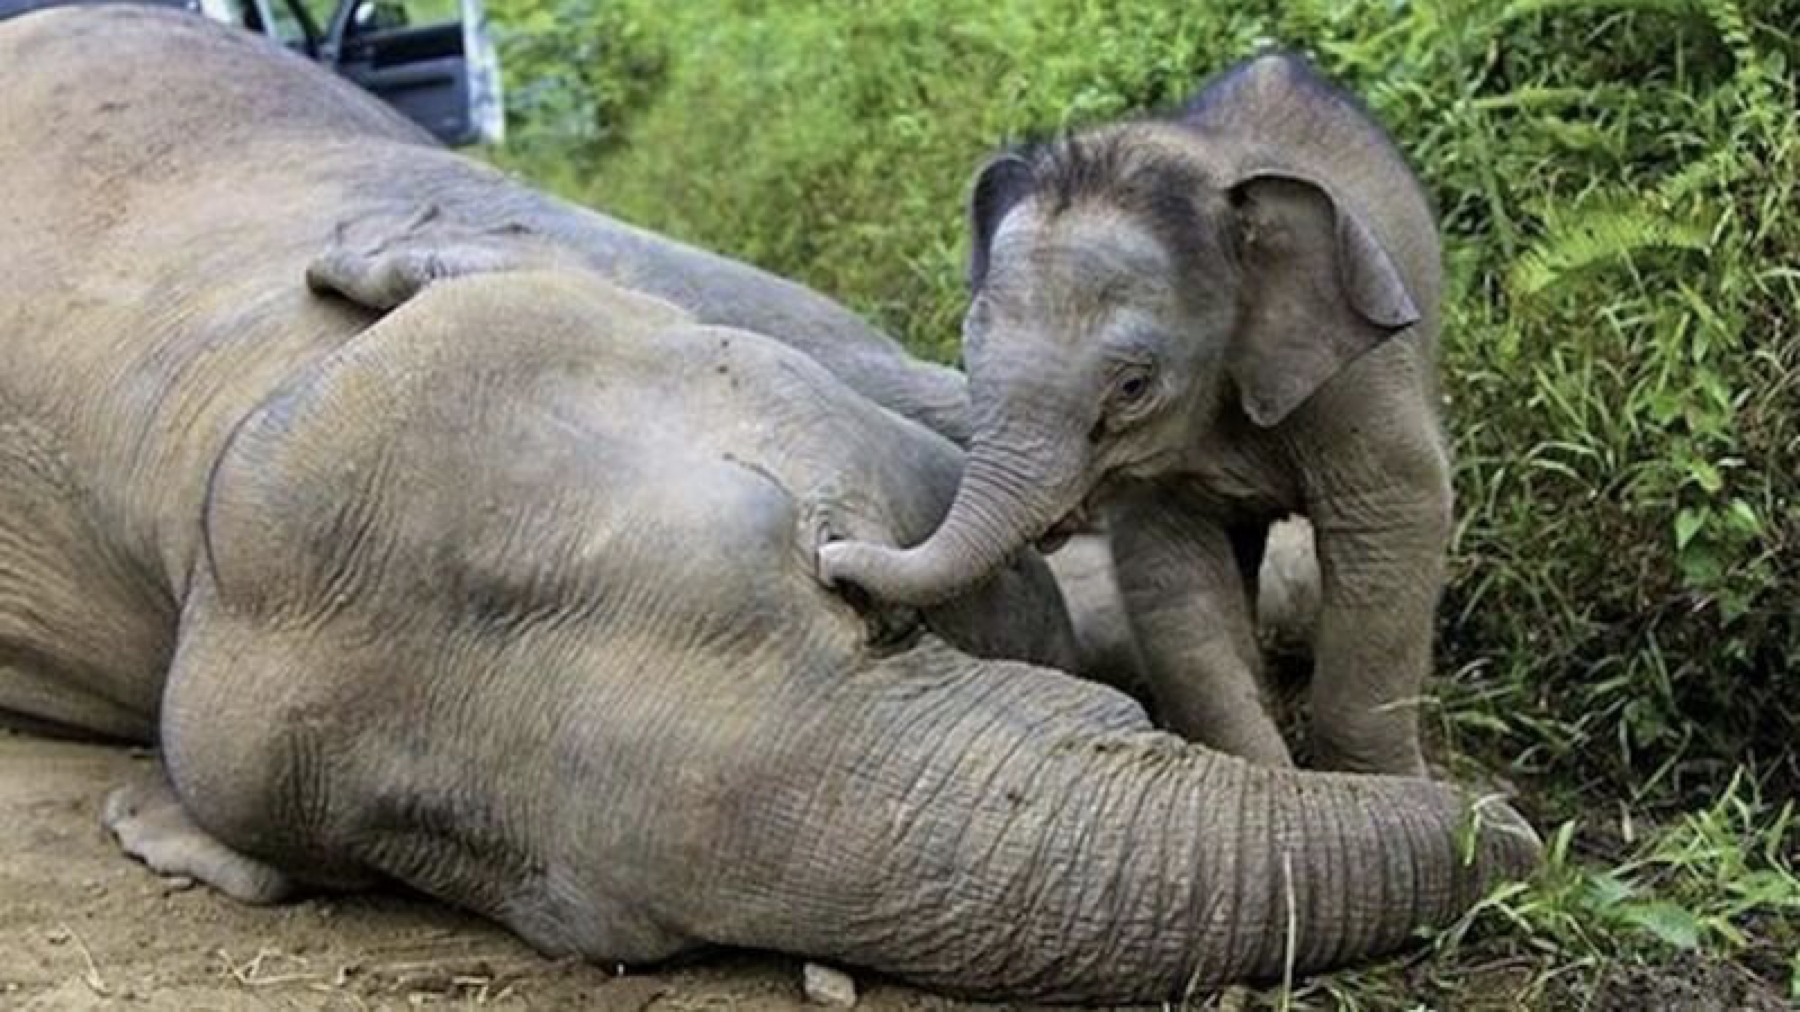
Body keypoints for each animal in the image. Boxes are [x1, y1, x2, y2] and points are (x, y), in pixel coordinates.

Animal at [821, 52, 1451, 775]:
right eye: (966, 350)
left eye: (1132, 387)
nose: (830, 560)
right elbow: (1171, 575)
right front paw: (1265, 775)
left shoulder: (1358, 374)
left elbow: (1394, 517)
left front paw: (1382, 784)